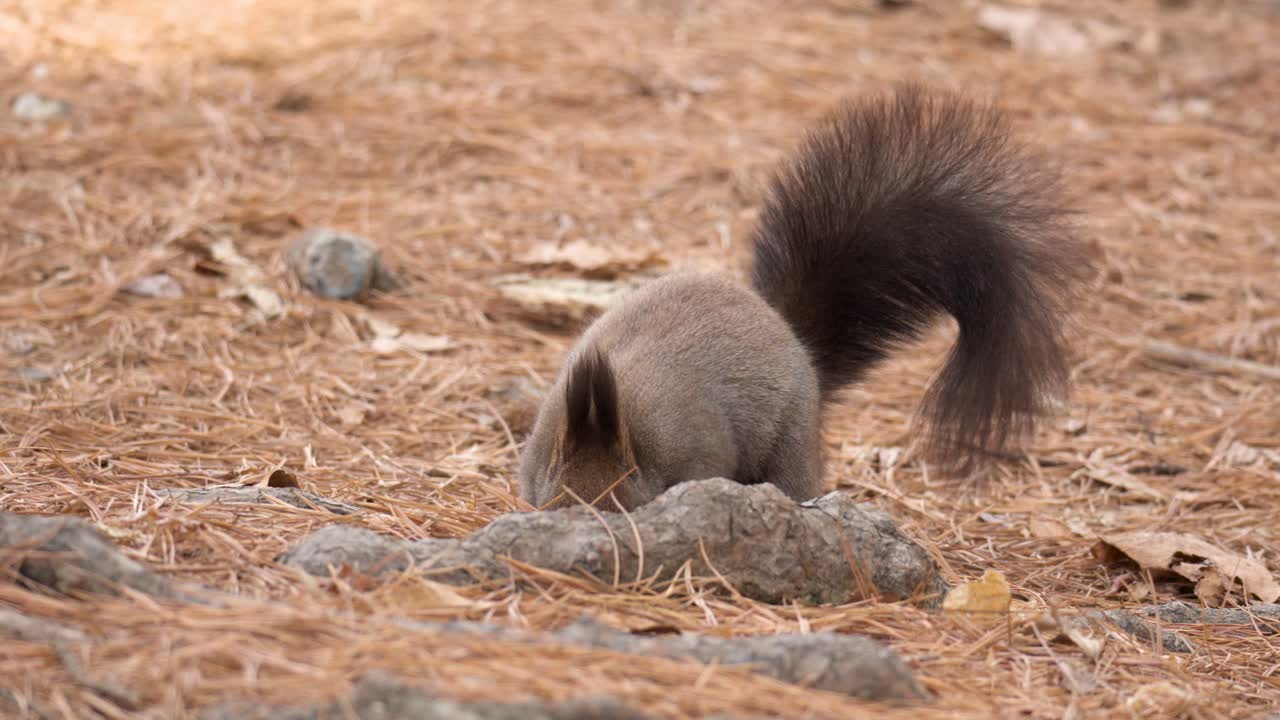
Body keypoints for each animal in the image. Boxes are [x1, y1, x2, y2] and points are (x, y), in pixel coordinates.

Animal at [518, 84, 1090, 511]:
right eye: (555, 484)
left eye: (630, 481)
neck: (627, 420)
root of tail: (790, 334)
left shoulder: (696, 448)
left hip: (790, 439)